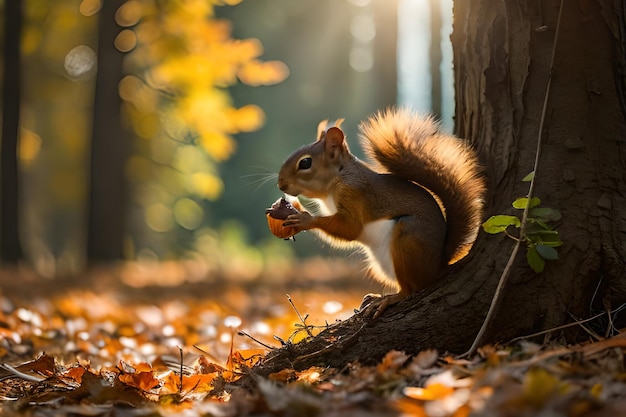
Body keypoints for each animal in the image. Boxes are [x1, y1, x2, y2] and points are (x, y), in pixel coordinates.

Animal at [276, 108, 486, 312]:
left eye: (305, 163)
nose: (280, 184)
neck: (339, 177)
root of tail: (438, 264)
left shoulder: (354, 195)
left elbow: (350, 229)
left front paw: (304, 219)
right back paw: (376, 296)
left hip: (407, 241)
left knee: (411, 288)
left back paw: (388, 299)